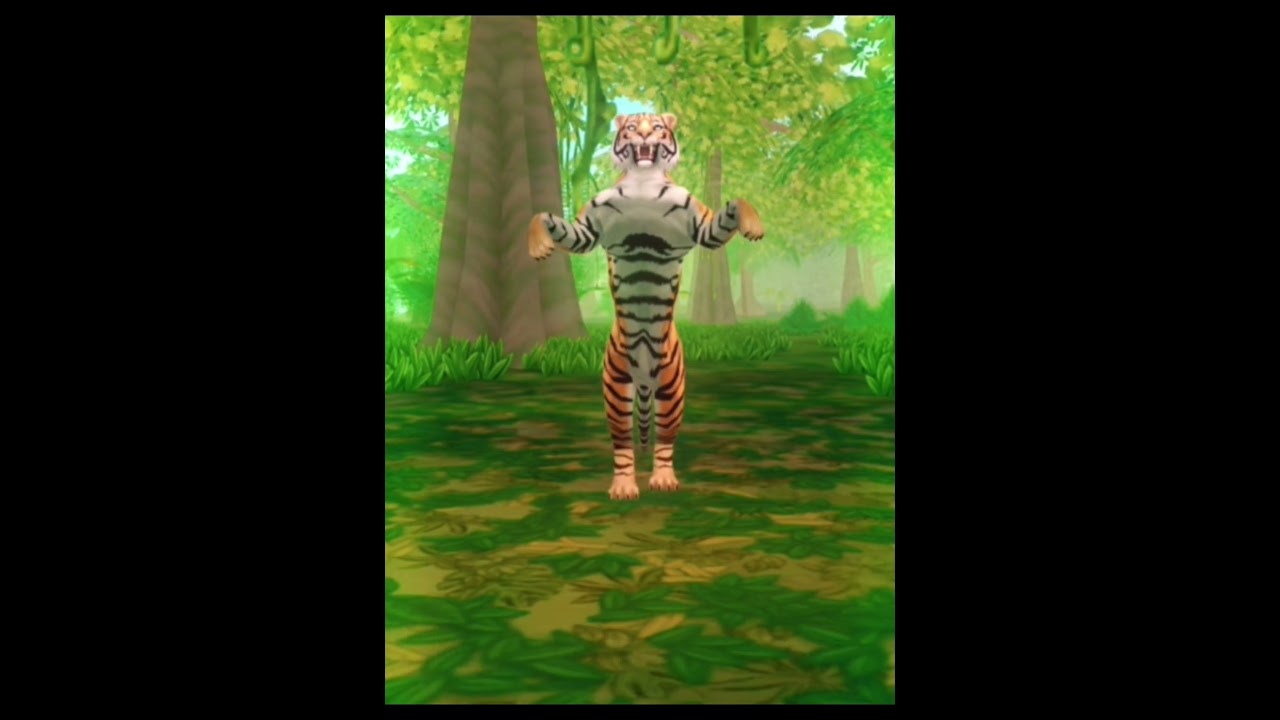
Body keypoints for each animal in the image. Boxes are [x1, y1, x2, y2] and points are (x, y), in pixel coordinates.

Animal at [527, 112, 765, 501]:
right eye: (631, 127)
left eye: (655, 127)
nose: (640, 134)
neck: (642, 181)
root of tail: (642, 376)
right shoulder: (587, 228)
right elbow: (545, 218)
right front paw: (539, 245)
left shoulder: (702, 224)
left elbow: (737, 203)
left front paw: (754, 225)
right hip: (616, 388)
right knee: (623, 443)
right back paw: (624, 486)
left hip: (672, 390)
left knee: (665, 440)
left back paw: (663, 479)